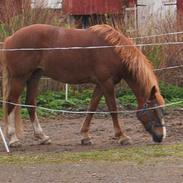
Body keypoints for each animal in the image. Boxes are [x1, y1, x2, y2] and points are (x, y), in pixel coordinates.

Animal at [0, 24, 166, 147]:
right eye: (154, 110)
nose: (161, 137)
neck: (112, 49)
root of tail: (10, 39)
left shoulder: (100, 84)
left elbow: (92, 108)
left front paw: (85, 136)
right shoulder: (106, 83)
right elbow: (113, 109)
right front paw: (122, 136)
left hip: (35, 76)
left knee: (30, 103)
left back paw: (42, 137)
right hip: (20, 78)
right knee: (11, 103)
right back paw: (13, 139)